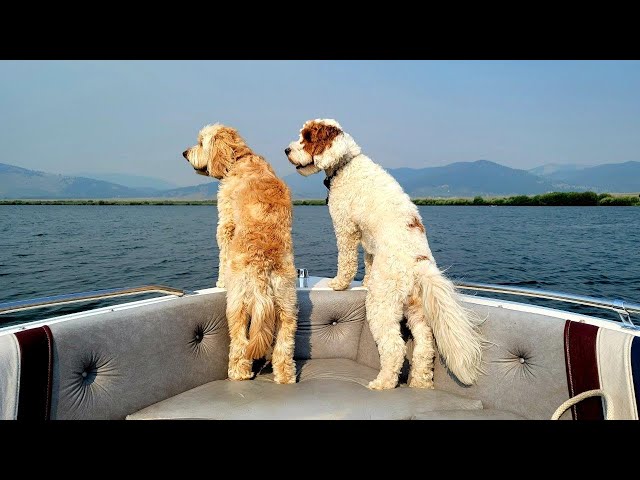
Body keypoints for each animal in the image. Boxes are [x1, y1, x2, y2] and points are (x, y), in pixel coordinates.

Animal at [182, 123, 298, 382]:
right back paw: (285, 376)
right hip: (287, 305)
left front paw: (219, 280)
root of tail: (263, 268)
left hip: (238, 303)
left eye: (201, 142)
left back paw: (238, 372)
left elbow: (223, 253)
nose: (184, 153)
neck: (240, 158)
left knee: (240, 342)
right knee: (284, 345)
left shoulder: (226, 222)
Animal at [288, 119, 482, 390]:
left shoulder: (345, 227)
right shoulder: (369, 241)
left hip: (382, 302)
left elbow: (346, 260)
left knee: (394, 347)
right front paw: (366, 280)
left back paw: (383, 382)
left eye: (306, 138)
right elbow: (368, 262)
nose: (286, 150)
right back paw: (420, 382)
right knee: (425, 347)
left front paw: (339, 283)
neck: (346, 165)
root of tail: (418, 263)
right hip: (416, 309)